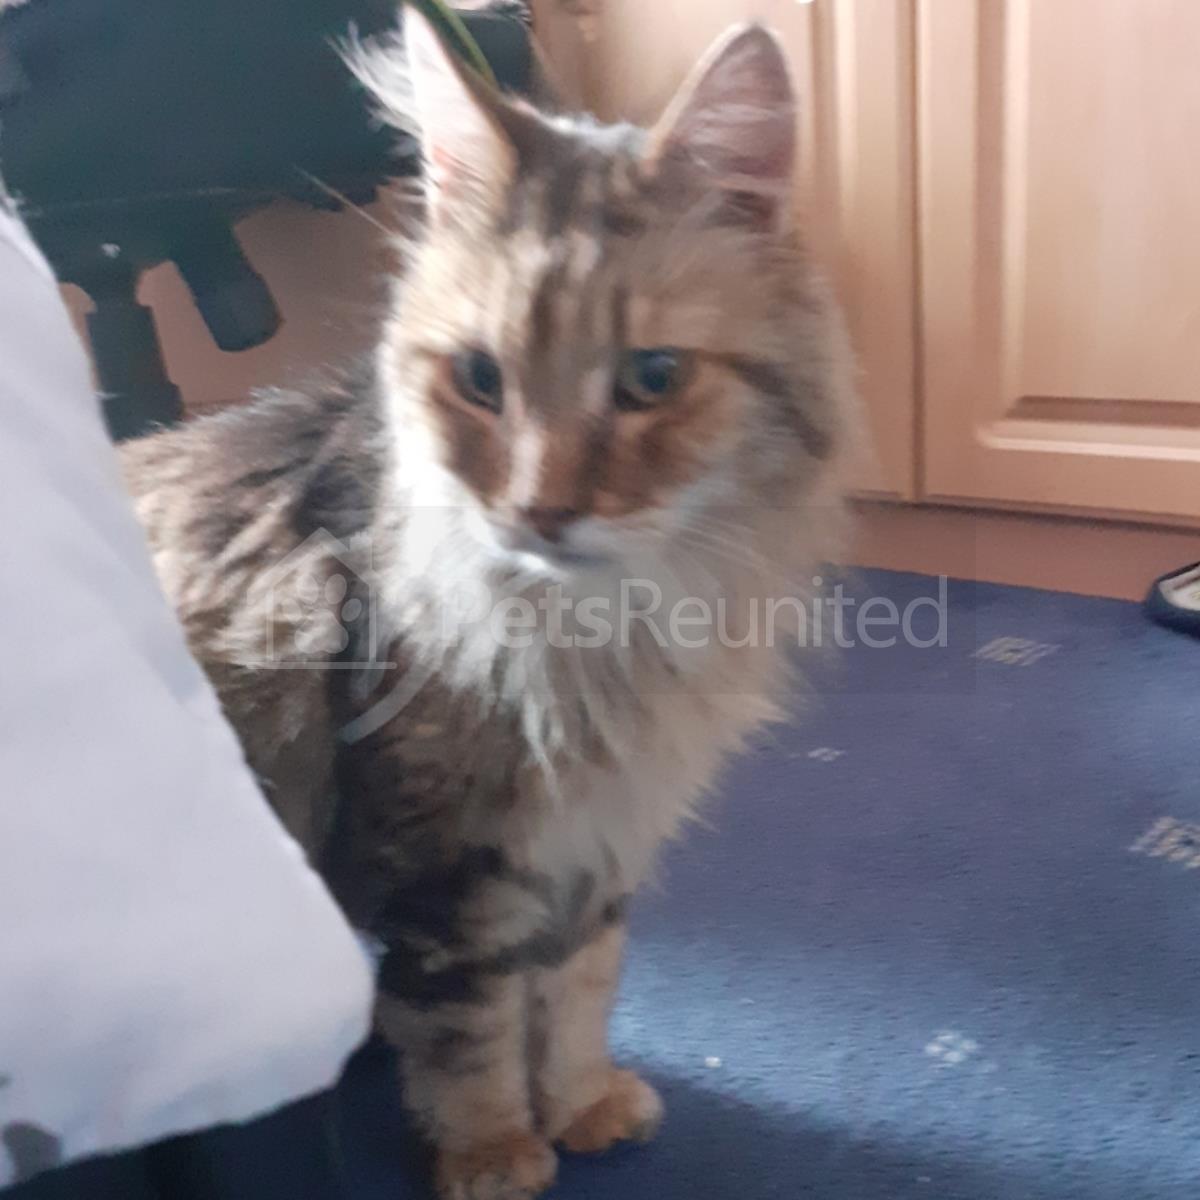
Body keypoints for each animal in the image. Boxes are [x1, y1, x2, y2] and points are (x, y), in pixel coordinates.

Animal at [120, 13, 854, 1200]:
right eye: (479, 379)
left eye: (651, 379)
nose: (540, 509)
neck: (608, 633)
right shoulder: (450, 862)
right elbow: (471, 1031)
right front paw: (495, 1153)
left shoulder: (596, 845)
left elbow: (580, 990)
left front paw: (584, 1107)